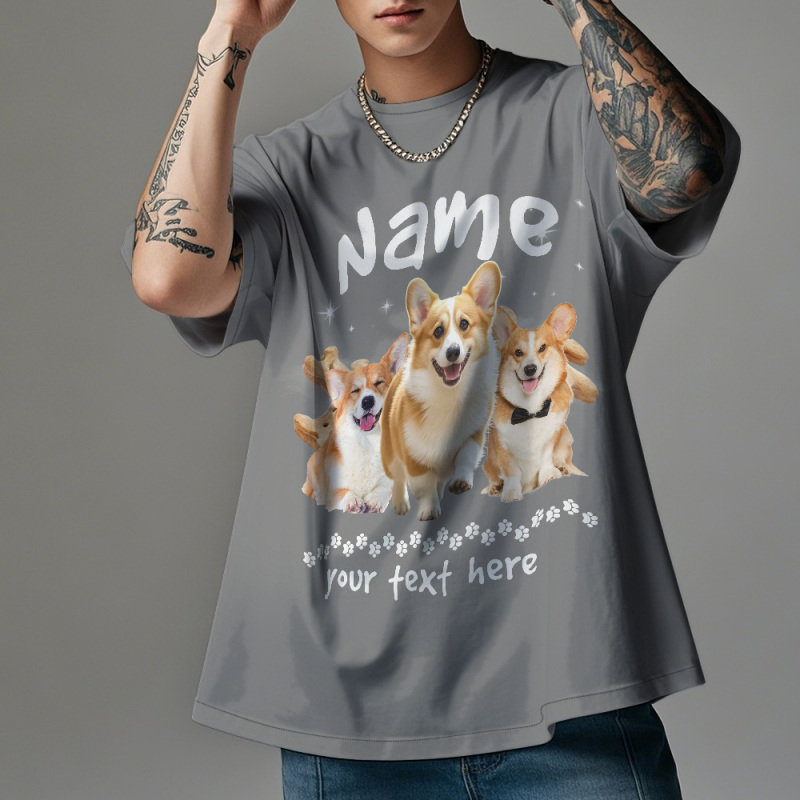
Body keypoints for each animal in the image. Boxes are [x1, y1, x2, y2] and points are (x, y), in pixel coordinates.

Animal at [299, 335, 409, 513]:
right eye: (355, 391)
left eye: (379, 383)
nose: (367, 401)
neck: (369, 441)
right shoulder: (333, 489)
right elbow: (343, 492)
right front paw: (353, 501)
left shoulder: (393, 480)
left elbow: (384, 488)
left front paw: (374, 500)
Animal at [381, 261, 502, 521]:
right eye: (438, 331)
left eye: (464, 324)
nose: (453, 352)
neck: (449, 396)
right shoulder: (414, 457)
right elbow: (424, 486)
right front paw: (428, 510)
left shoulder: (474, 434)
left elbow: (465, 456)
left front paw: (461, 481)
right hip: (389, 455)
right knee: (397, 479)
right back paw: (400, 503)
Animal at [482, 304, 598, 501]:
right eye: (518, 352)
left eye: (542, 348)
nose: (530, 369)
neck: (531, 410)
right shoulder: (502, 446)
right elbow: (512, 472)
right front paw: (511, 493)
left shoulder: (552, 436)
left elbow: (545, 457)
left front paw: (548, 475)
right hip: (488, 463)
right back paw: (495, 487)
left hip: (566, 436)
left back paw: (561, 467)